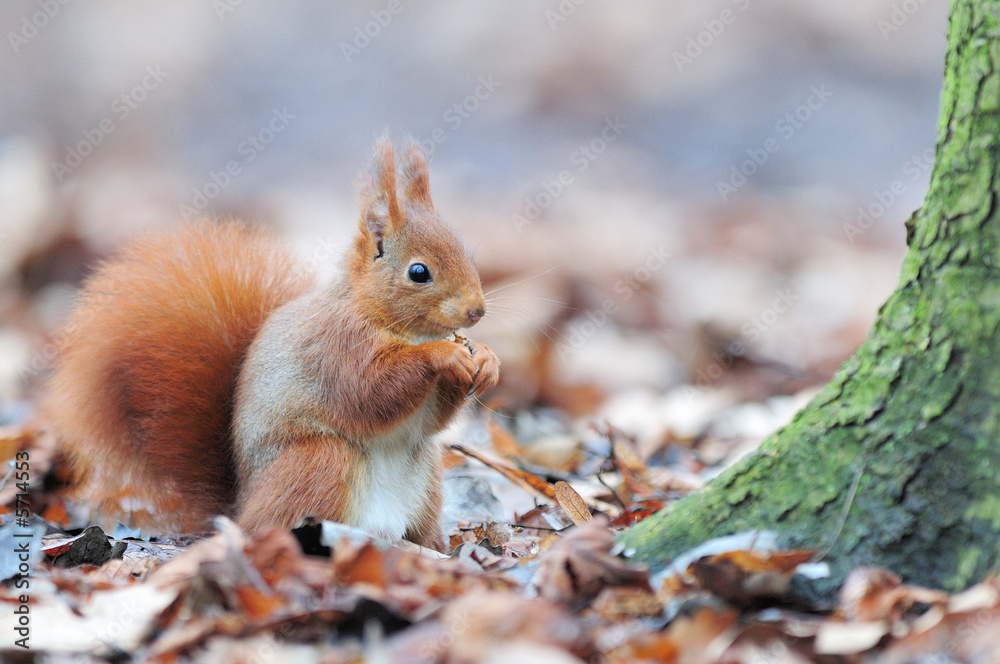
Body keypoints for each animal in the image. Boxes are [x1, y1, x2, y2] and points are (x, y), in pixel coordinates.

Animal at [44, 136, 500, 548]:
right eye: (419, 272)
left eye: (467, 253)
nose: (476, 311)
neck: (384, 317)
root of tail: (241, 509)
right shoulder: (336, 347)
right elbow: (370, 390)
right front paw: (443, 354)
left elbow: (431, 418)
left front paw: (486, 360)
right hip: (319, 462)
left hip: (426, 477)